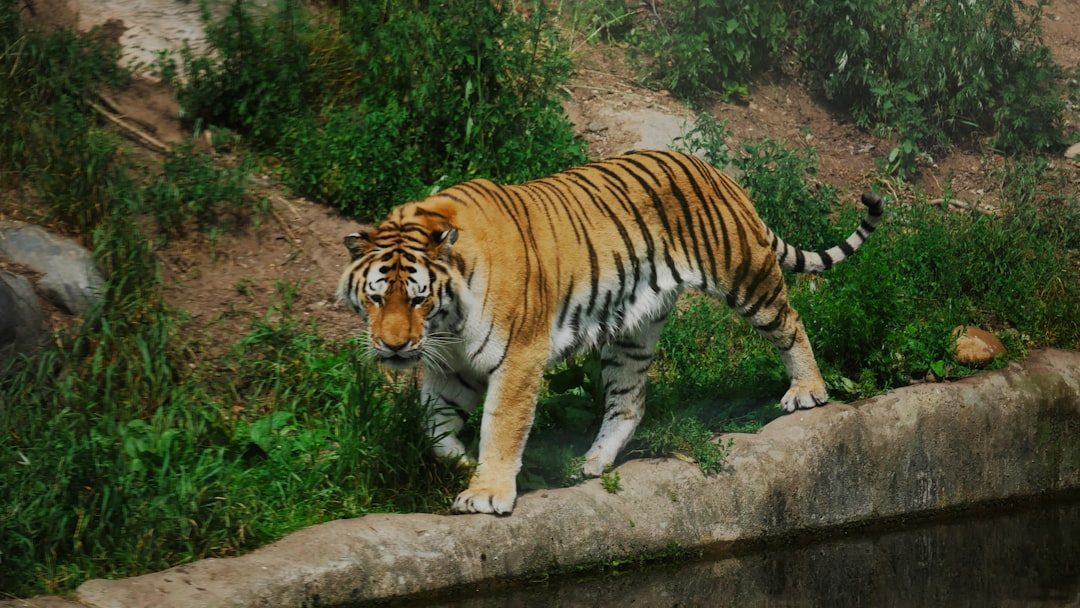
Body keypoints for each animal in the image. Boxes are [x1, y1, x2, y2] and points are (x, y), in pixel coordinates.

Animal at [337, 149, 883, 515]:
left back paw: (808, 391)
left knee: (790, 322)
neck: (447, 326)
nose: (393, 347)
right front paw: (460, 463)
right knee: (630, 400)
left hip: (745, 275)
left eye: (418, 297)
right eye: (376, 297)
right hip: (631, 333)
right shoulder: (452, 365)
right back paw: (593, 463)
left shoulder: (518, 357)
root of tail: (714, 169)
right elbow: (433, 424)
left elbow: (502, 425)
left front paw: (487, 492)